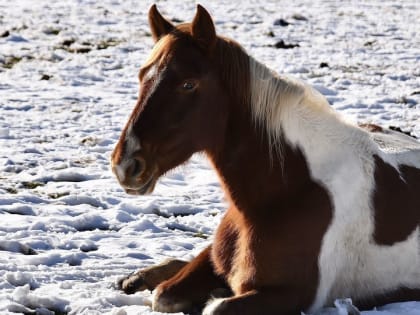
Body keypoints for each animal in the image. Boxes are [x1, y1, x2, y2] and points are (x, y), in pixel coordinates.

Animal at [111, 4, 420, 315]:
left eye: (188, 84)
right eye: (142, 76)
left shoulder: (293, 295)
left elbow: (211, 306)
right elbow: (165, 294)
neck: (288, 189)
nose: (125, 165)